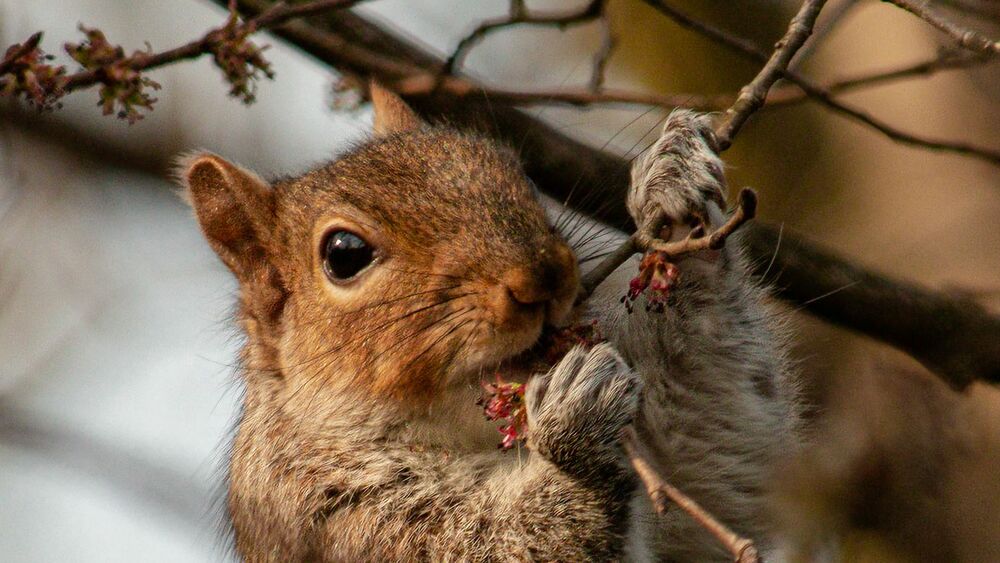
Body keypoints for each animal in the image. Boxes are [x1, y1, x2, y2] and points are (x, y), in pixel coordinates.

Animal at [179, 83, 799, 562]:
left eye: (510, 169)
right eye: (343, 254)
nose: (542, 278)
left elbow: (713, 454)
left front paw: (673, 186)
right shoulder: (328, 517)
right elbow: (506, 547)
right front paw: (574, 433)